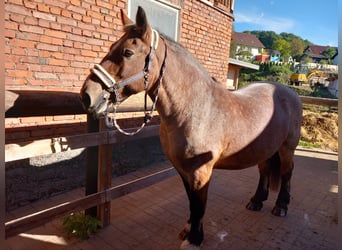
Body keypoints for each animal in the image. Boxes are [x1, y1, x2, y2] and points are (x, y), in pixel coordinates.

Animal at [79, 6, 302, 249]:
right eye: (111, 47)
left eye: (127, 52)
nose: (87, 95)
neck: (194, 108)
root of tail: (289, 93)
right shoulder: (183, 169)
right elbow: (191, 202)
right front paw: (188, 230)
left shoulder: (200, 171)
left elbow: (199, 204)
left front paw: (194, 238)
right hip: (264, 148)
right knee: (264, 170)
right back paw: (256, 201)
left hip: (287, 149)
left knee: (288, 172)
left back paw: (281, 206)